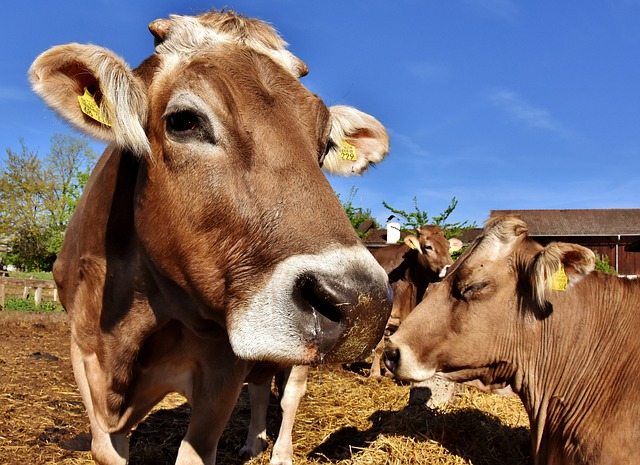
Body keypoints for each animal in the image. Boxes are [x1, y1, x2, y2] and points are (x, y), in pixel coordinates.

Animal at [31, 10, 396, 464]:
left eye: (326, 142)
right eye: (184, 121)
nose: (364, 303)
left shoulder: (222, 370)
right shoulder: (84, 357)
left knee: (288, 396)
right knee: (260, 389)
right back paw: (252, 441)